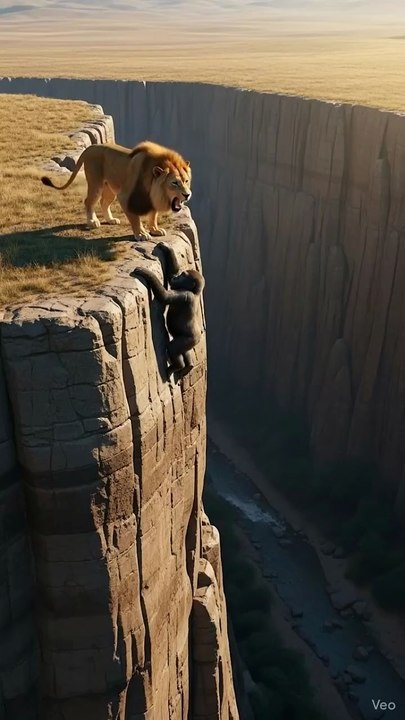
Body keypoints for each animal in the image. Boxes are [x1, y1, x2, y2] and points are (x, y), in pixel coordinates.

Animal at [41, 140, 192, 241]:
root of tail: (92, 146)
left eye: (186, 181)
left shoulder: (151, 198)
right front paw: (141, 234)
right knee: (89, 201)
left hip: (109, 189)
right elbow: (135, 219)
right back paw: (92, 222)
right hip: (96, 184)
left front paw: (155, 230)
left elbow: (153, 215)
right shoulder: (125, 196)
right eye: (174, 183)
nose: (187, 195)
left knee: (103, 202)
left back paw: (111, 220)